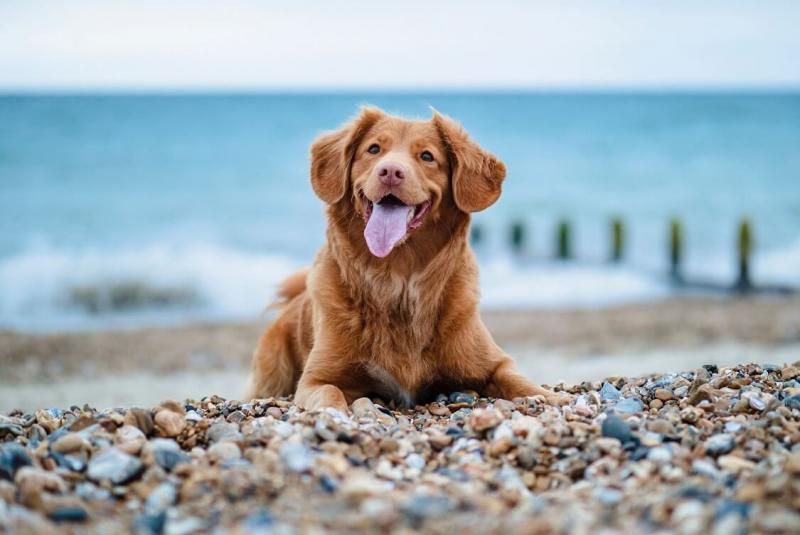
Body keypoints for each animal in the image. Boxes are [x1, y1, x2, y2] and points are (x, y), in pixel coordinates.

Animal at [247, 107, 564, 412]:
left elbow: (519, 380)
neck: (396, 279)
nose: (390, 171)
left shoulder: (494, 362)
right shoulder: (316, 378)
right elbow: (329, 393)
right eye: (374, 149)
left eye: (427, 156)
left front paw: (549, 398)